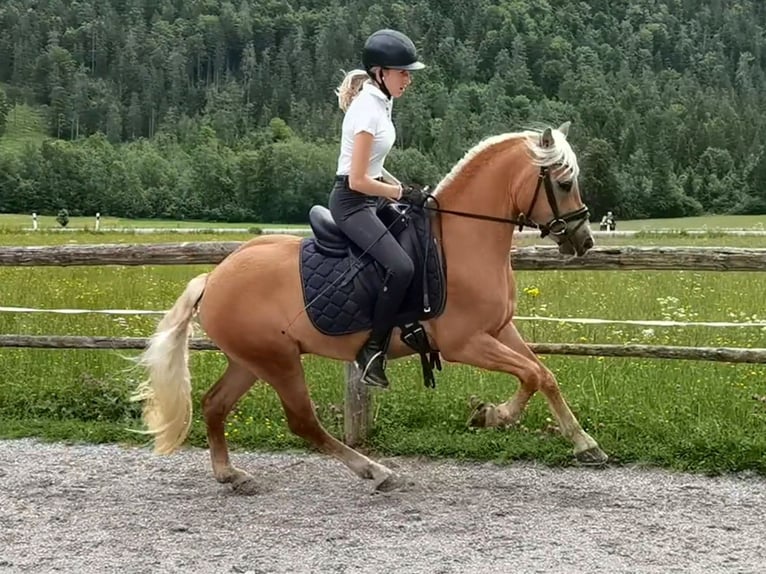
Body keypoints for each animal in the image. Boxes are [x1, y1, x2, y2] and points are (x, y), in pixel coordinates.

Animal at [131, 121, 607, 494]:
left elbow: (544, 375)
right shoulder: (465, 343)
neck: (461, 241)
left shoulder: (501, 329)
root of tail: (213, 278)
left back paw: (230, 475)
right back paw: (377, 472)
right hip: (277, 361)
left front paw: (584, 443)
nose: (584, 240)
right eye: (564, 182)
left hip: (250, 360)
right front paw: (494, 415)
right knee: (303, 422)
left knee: (215, 405)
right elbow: (531, 374)